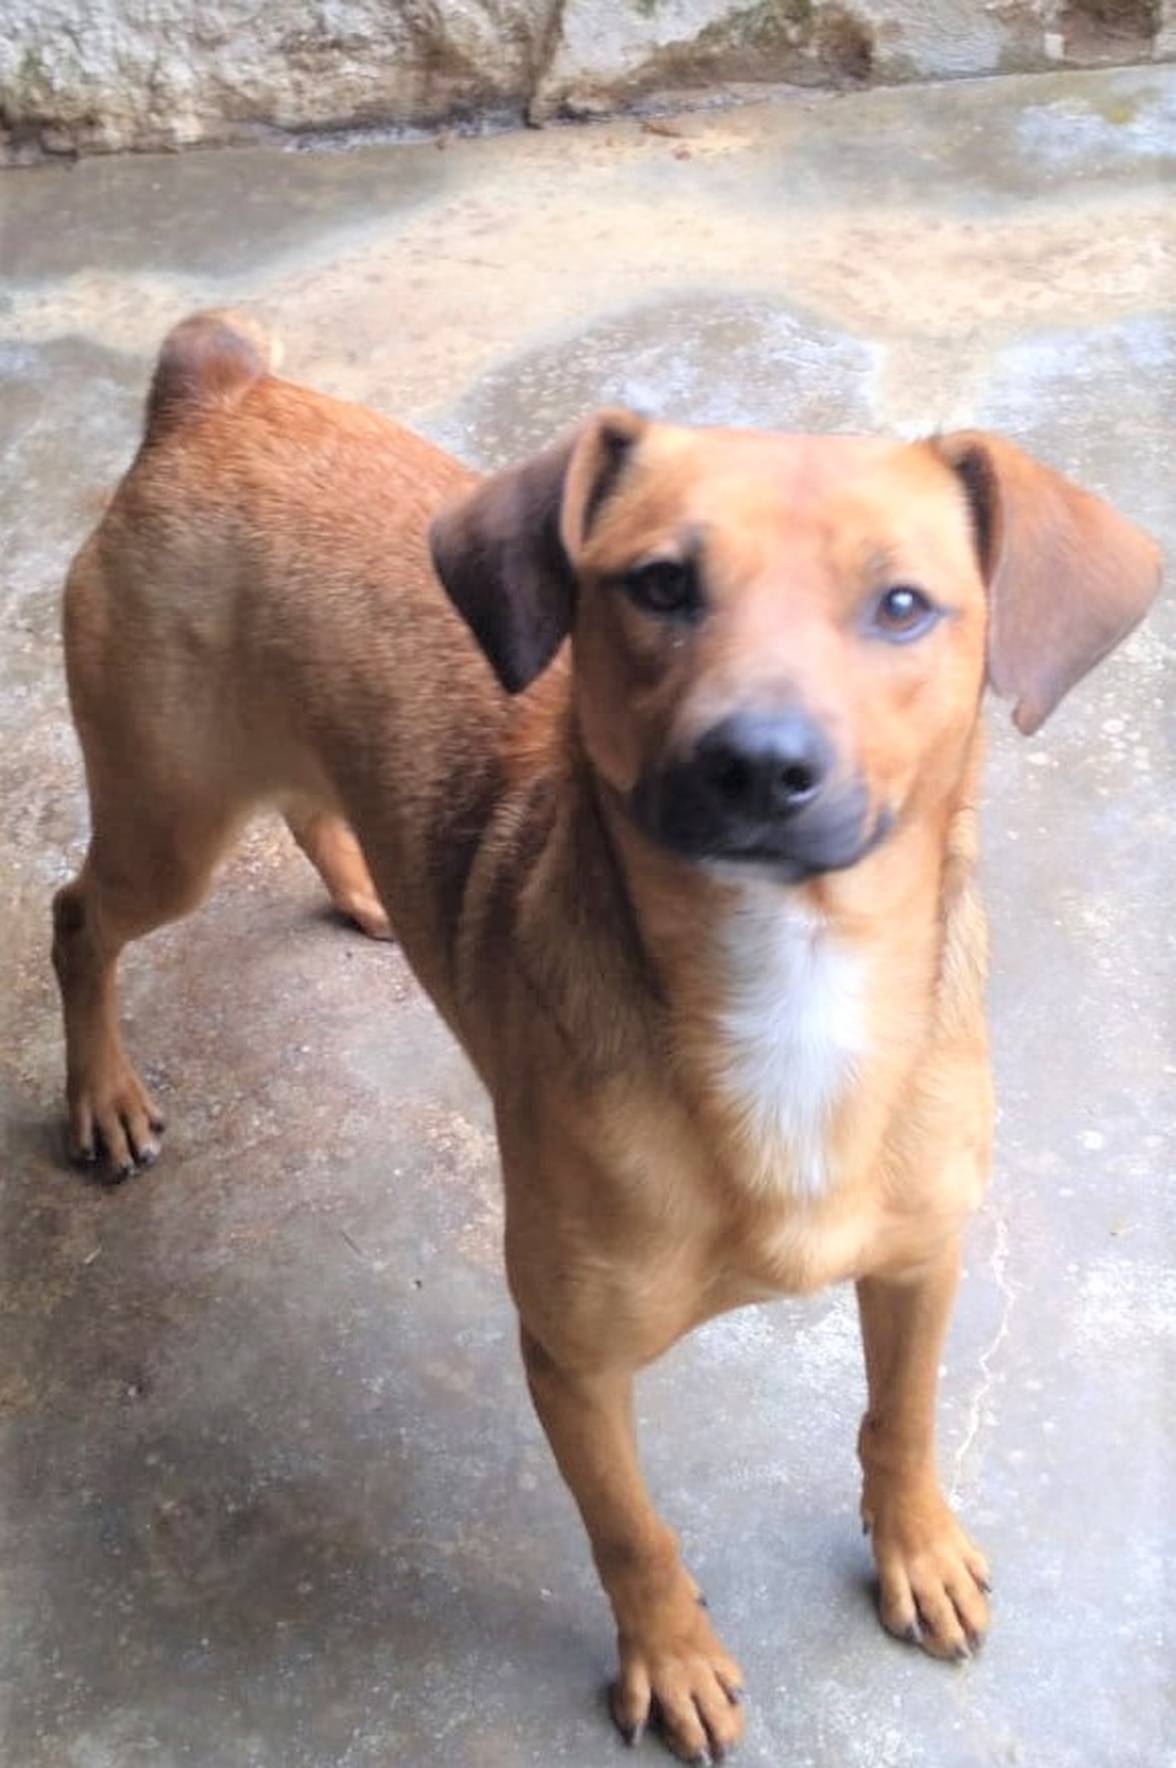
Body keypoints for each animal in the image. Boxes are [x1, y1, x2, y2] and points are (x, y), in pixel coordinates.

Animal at [52, 311, 1160, 1761]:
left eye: (905, 605)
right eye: (660, 585)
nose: (757, 763)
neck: (791, 991)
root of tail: (219, 390)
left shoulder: (922, 1259)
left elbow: (903, 1420)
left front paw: (914, 1548)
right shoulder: (570, 1357)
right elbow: (633, 1533)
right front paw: (673, 1655)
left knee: (305, 806)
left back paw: (363, 889)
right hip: (168, 825)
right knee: (79, 920)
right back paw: (102, 1094)